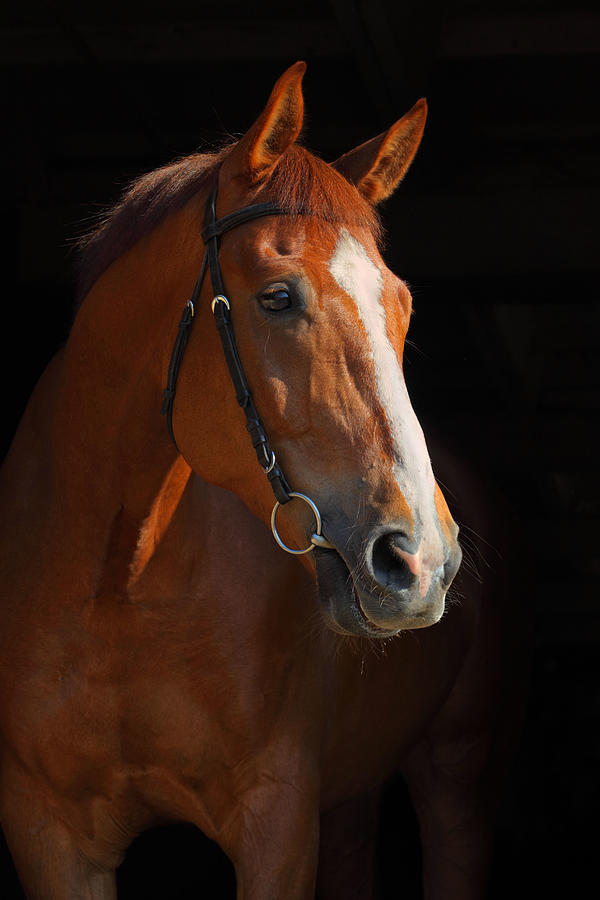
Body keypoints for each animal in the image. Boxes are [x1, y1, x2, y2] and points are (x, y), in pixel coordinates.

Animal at [0, 65, 524, 900]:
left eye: (402, 305)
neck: (118, 584)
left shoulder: (277, 823)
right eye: (277, 297)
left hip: (459, 774)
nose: (422, 562)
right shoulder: (48, 833)